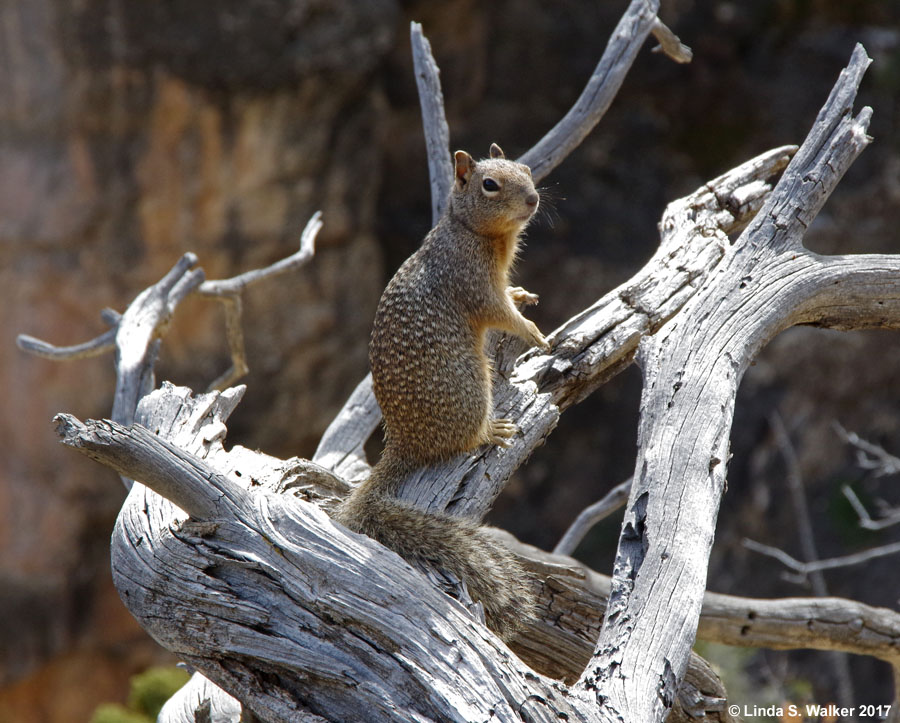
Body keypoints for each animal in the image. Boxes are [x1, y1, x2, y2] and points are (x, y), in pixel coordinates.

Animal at [338, 143, 548, 640]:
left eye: (526, 169)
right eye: (489, 185)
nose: (533, 199)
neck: (472, 233)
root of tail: (405, 444)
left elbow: (510, 296)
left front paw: (524, 294)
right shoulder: (474, 283)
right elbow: (500, 313)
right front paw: (532, 330)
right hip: (473, 384)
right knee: (464, 439)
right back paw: (491, 432)